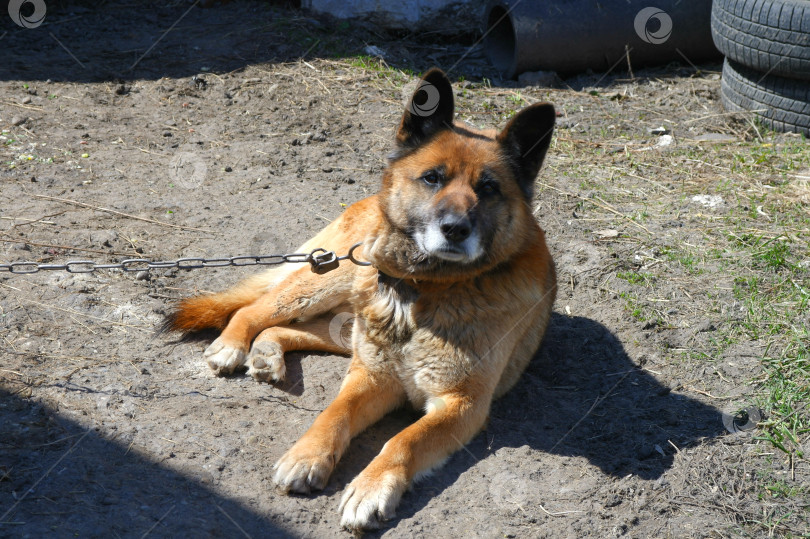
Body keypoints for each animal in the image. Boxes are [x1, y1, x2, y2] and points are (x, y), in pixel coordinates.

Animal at [164, 68, 556, 532]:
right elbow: (336, 412)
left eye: (489, 188)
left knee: (289, 329)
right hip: (331, 281)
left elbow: (404, 440)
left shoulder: (461, 405)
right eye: (432, 178)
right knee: (253, 309)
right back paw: (232, 345)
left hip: (347, 321)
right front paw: (307, 455)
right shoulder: (372, 375)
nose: (455, 229)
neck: (424, 289)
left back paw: (266, 354)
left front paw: (370, 488)